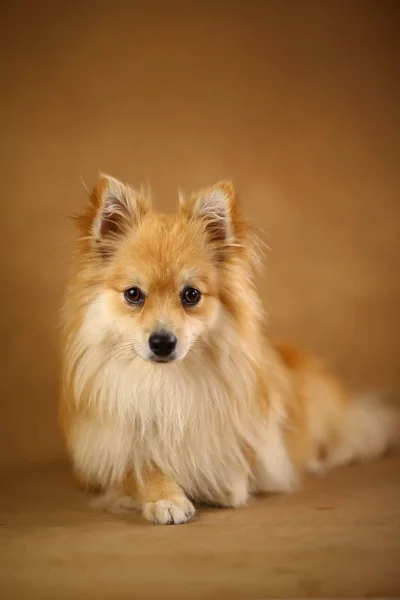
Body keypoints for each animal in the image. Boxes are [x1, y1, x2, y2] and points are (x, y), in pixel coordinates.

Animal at [58, 175, 396, 524]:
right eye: (133, 294)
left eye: (191, 295)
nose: (162, 341)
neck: (166, 382)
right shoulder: (110, 448)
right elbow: (139, 469)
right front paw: (165, 497)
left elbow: (234, 463)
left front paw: (217, 481)